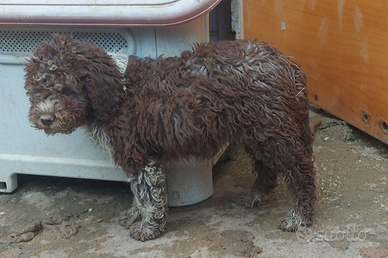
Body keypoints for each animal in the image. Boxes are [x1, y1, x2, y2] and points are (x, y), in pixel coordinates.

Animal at [24, 34, 316, 242]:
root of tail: (285, 63)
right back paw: (256, 195)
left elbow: (147, 196)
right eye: (37, 89)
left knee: (301, 171)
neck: (114, 91)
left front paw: (148, 228)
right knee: (267, 166)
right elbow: (138, 193)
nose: (46, 119)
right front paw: (135, 215)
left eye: (66, 89)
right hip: (256, 131)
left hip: (273, 131)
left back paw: (300, 217)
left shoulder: (139, 155)